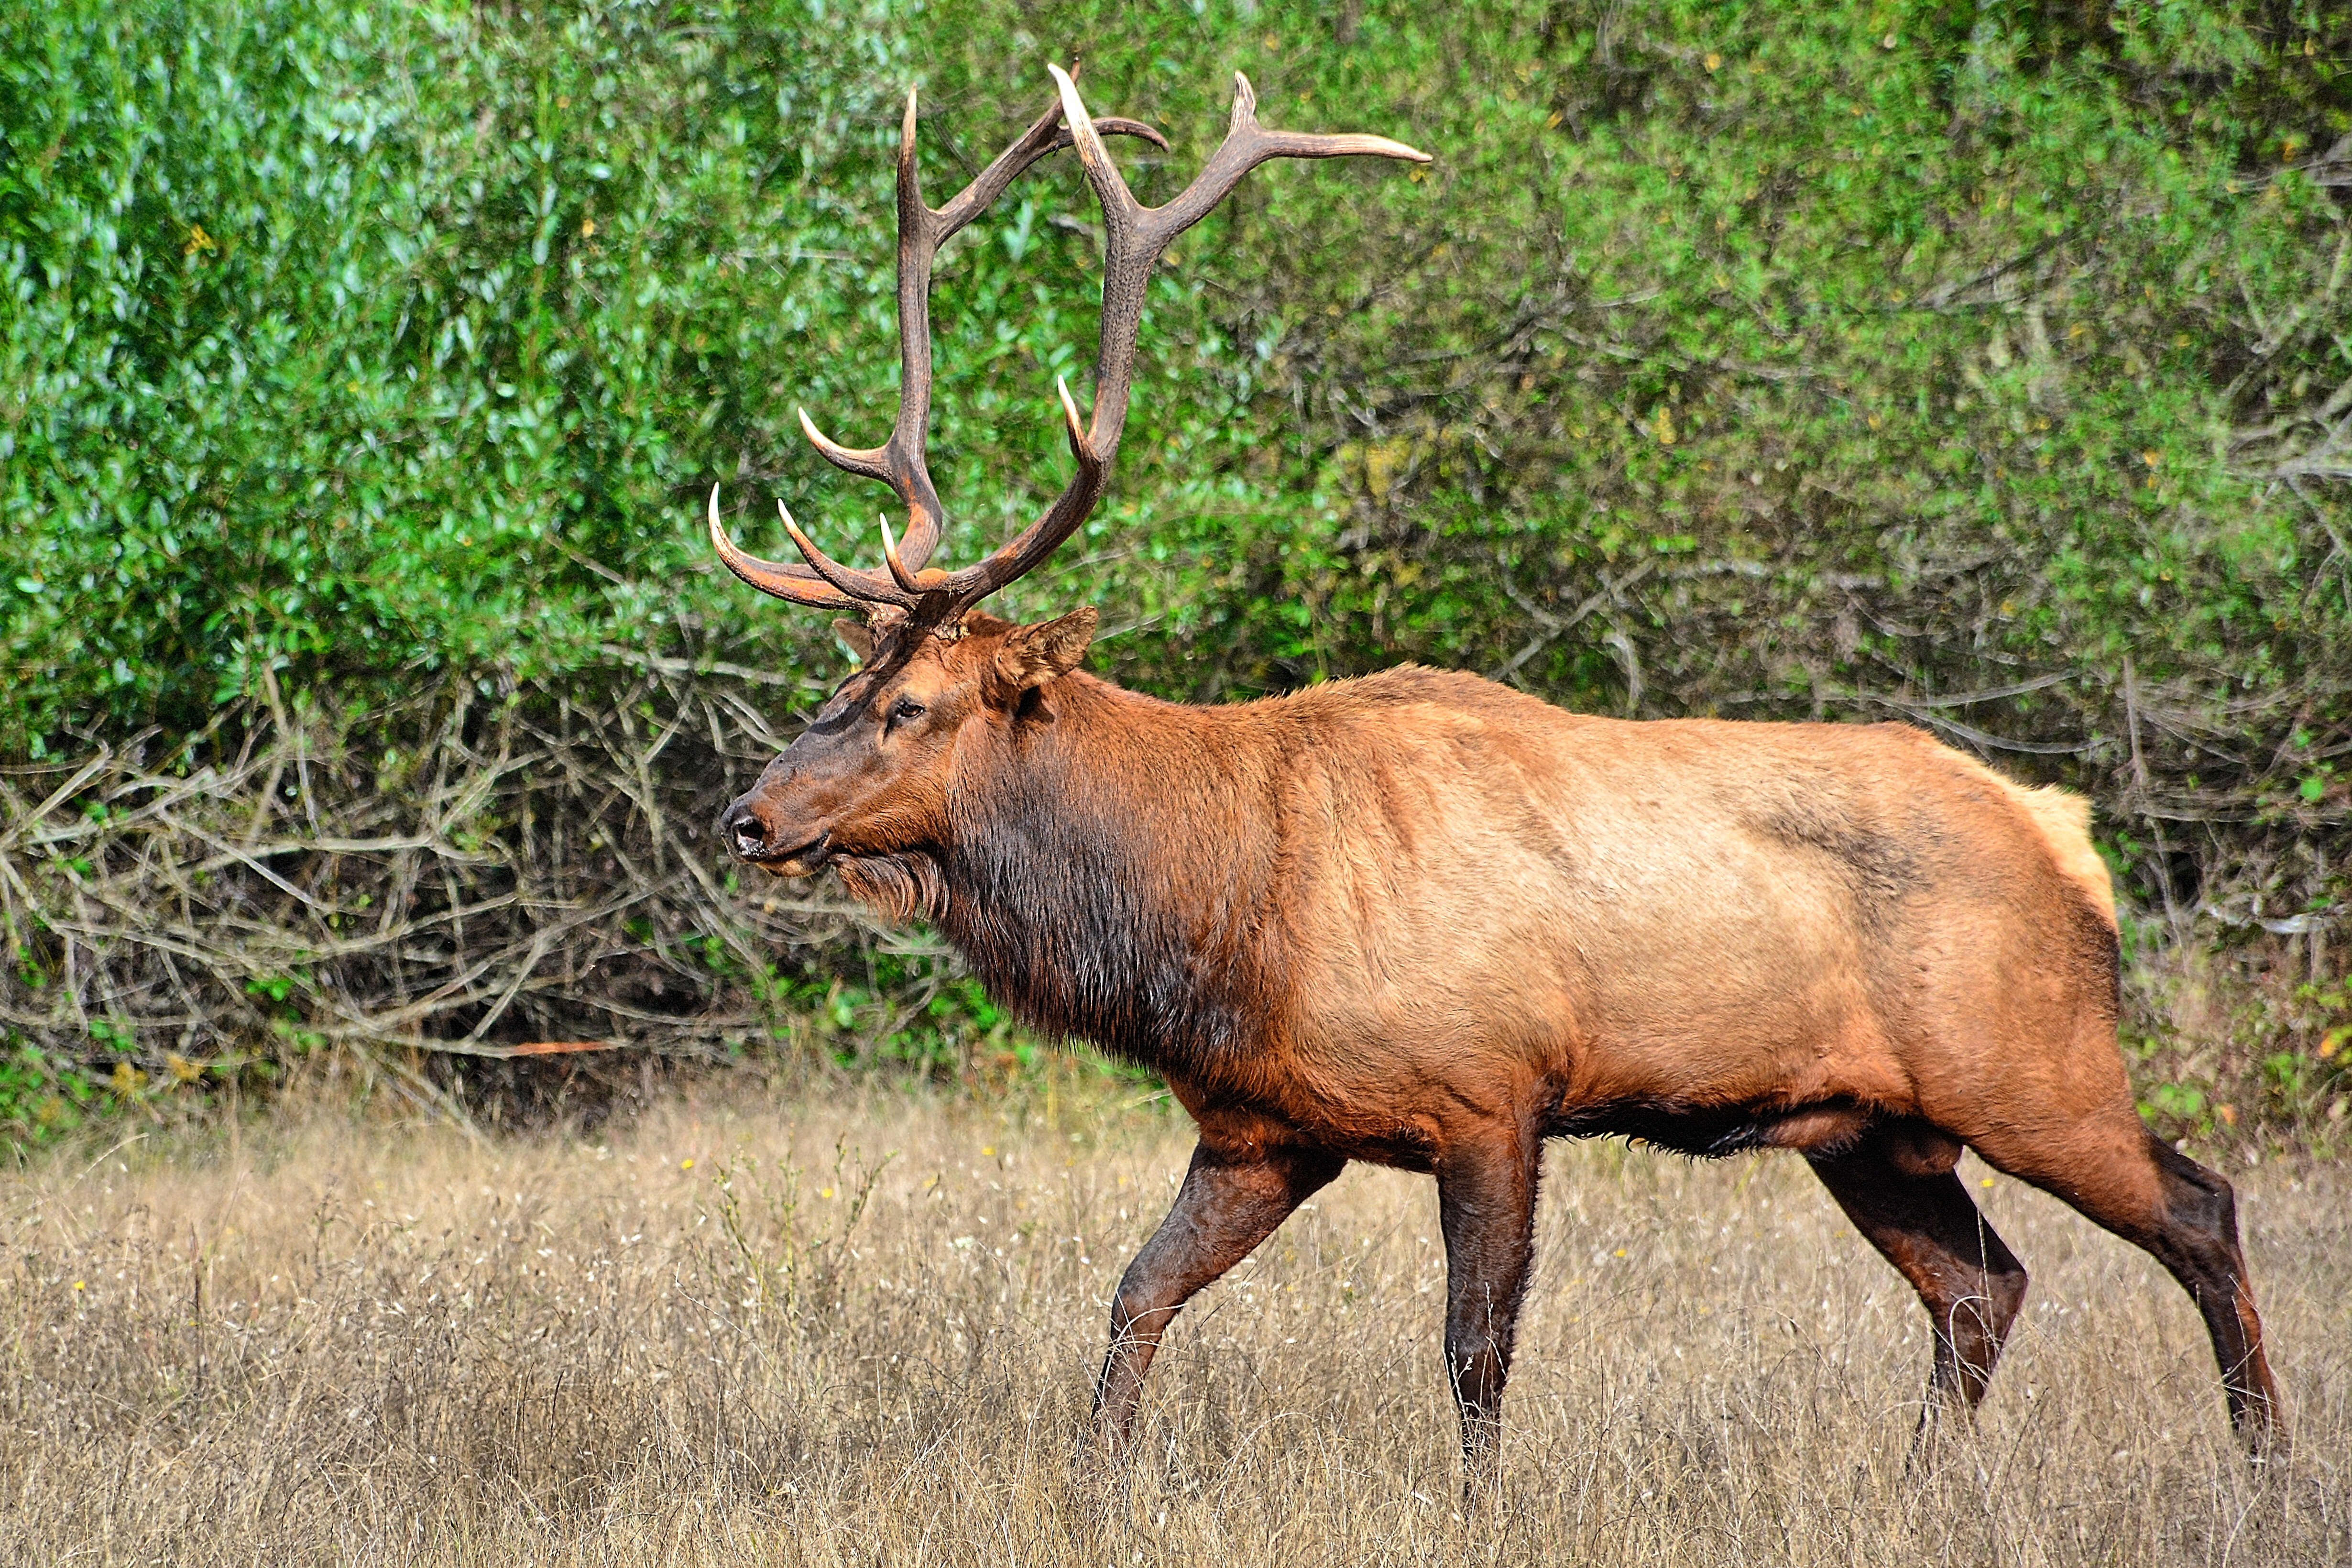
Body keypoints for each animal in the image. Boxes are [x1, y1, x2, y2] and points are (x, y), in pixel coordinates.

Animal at [705, 64, 2286, 1485]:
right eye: (836, 686)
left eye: (908, 704)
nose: (750, 815)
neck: (1219, 912)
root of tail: (2067, 837)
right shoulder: (1261, 1127)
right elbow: (1134, 1289)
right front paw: (1091, 1485)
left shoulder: (1488, 1088)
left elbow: (1473, 1347)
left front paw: (1476, 1506)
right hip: (1874, 1125)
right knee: (1978, 1282)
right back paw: (1920, 1491)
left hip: (2027, 1061)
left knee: (2199, 1207)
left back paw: (2262, 1468)